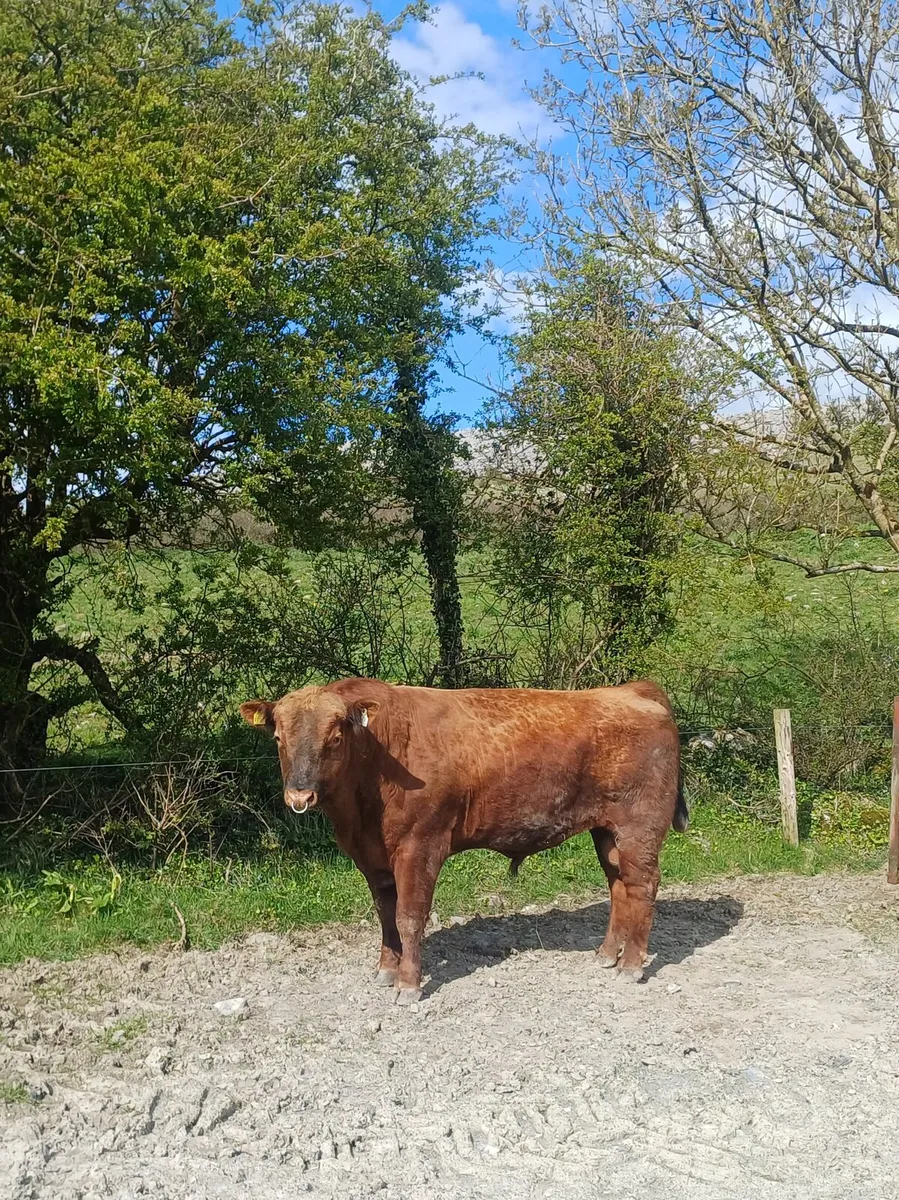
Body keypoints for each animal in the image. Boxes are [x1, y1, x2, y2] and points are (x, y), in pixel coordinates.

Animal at [240, 676, 687, 1003]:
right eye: (278, 738)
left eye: (334, 737)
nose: (299, 796)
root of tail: (633, 689)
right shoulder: (372, 856)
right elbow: (386, 914)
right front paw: (386, 970)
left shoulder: (420, 846)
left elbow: (409, 917)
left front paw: (408, 985)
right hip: (607, 832)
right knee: (619, 887)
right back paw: (606, 955)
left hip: (640, 829)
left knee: (642, 887)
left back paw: (631, 965)